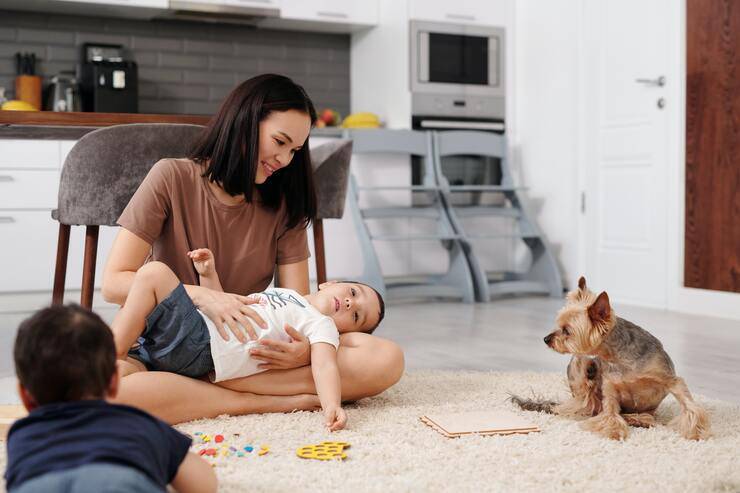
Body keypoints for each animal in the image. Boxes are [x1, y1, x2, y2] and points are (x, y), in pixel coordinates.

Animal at [516, 274, 712, 440]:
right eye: (558, 326)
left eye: (567, 331)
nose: (546, 339)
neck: (619, 358)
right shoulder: (609, 389)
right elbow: (609, 413)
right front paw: (614, 432)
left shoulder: (669, 379)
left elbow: (690, 405)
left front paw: (696, 432)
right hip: (580, 365)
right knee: (582, 404)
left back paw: (639, 419)